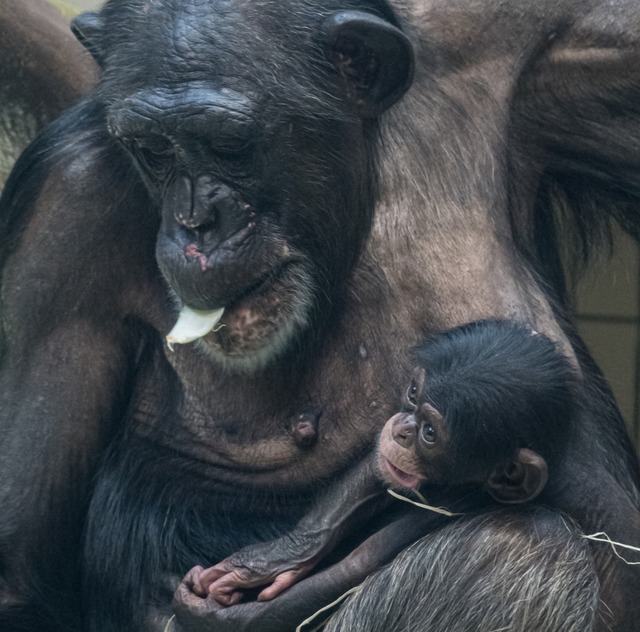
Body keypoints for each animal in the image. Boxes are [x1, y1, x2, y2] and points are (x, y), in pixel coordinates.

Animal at [1, 1, 640, 632]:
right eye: (154, 151)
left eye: (228, 145)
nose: (195, 224)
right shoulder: (66, 207)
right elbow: (21, 574)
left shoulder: (530, 50)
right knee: (518, 546)